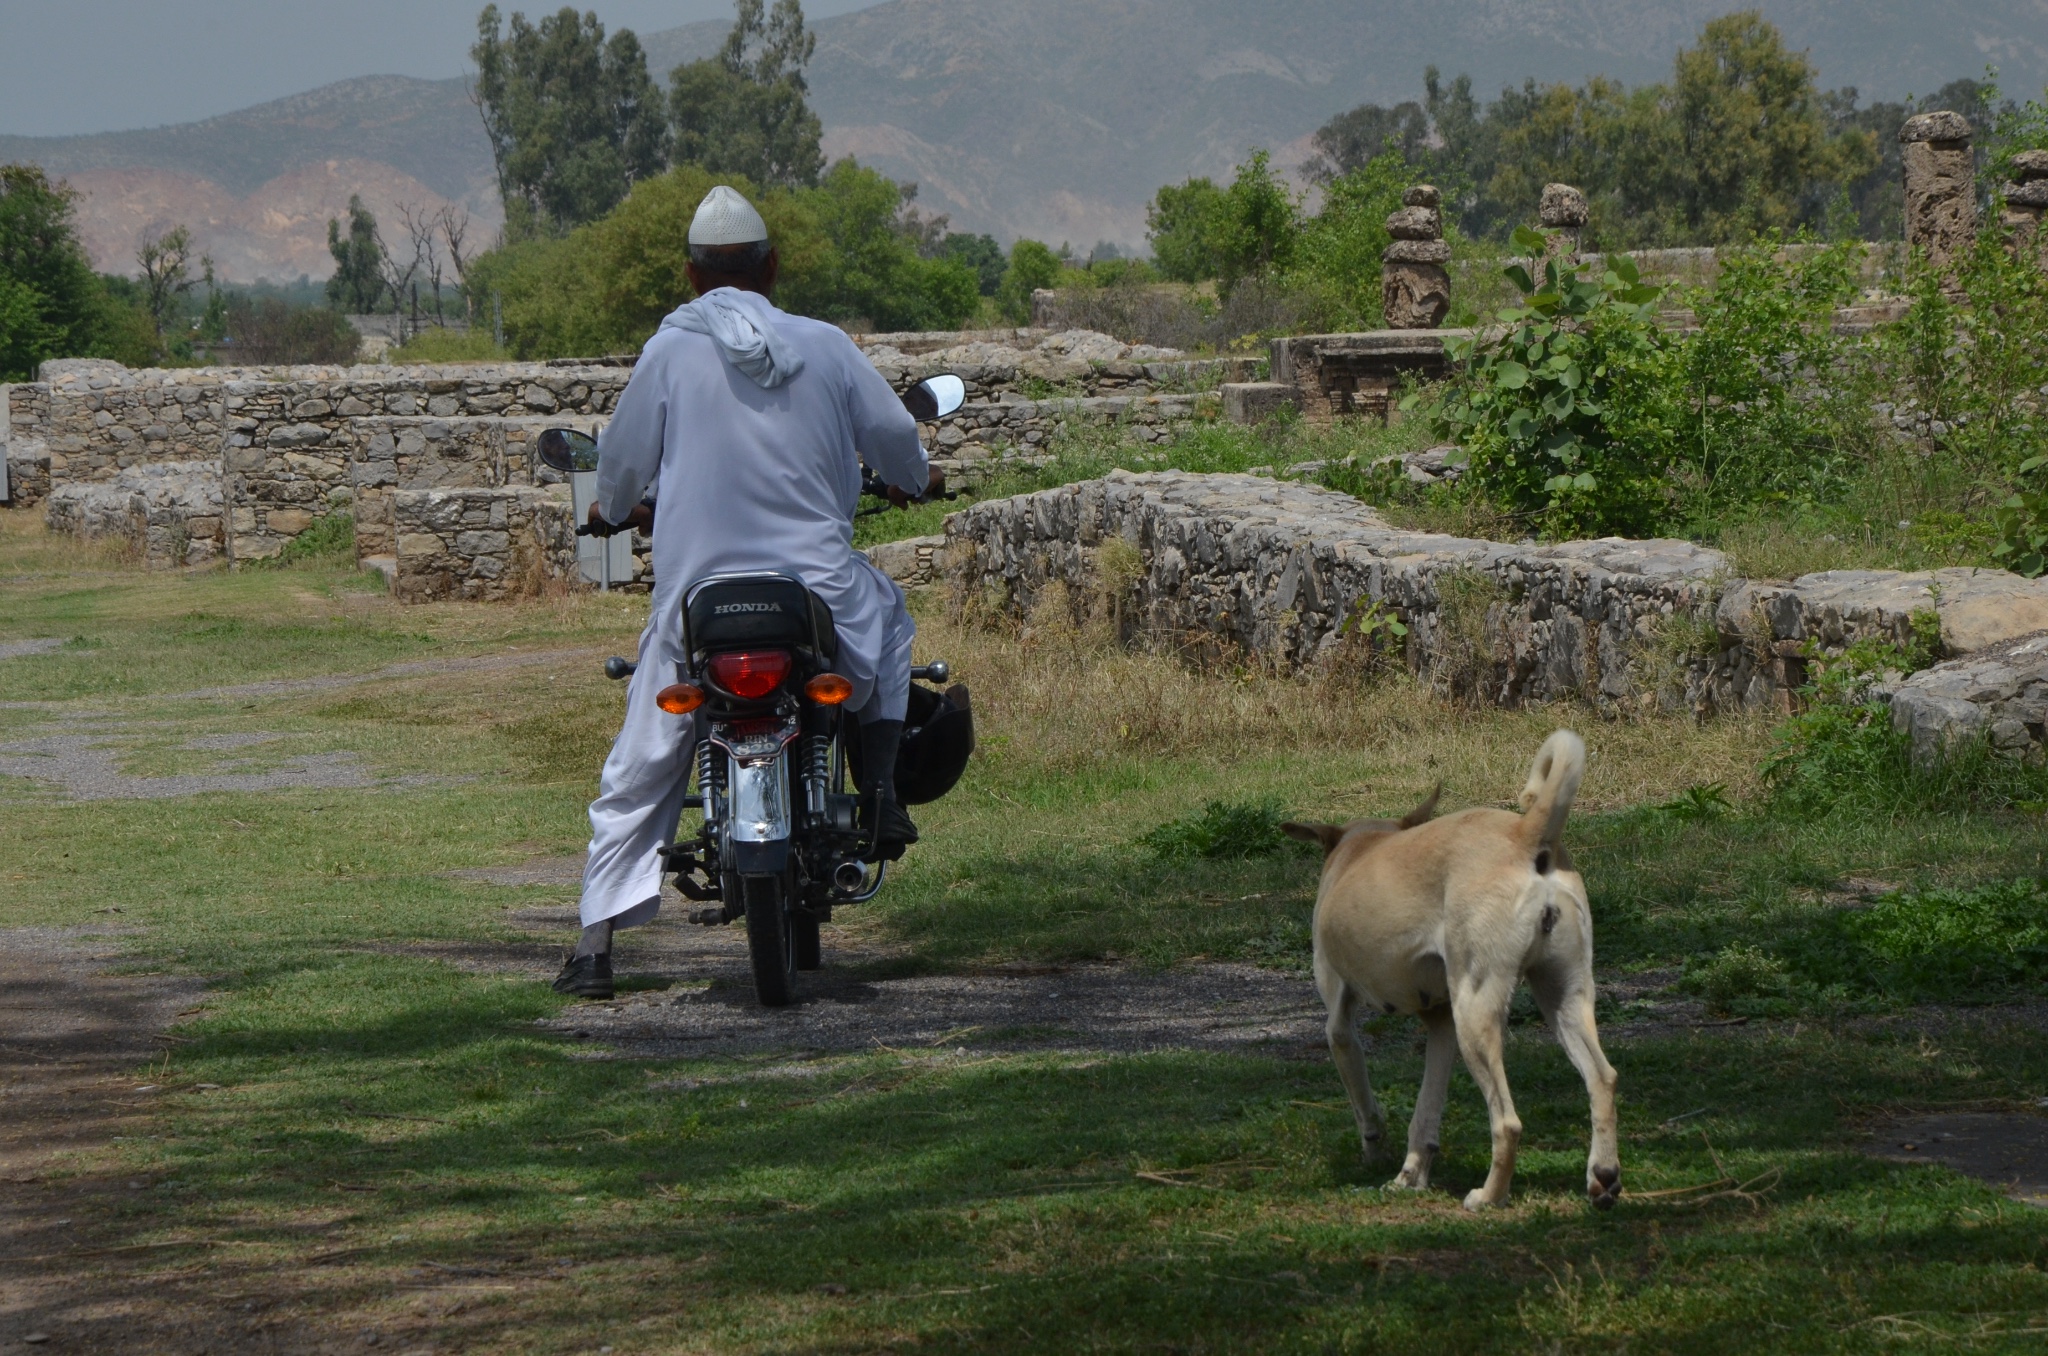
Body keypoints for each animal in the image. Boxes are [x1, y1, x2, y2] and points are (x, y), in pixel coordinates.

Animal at [1286, 737, 1622, 1212]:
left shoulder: (1340, 1022)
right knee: (1602, 1079)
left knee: (1507, 1122)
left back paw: (1489, 1196)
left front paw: (1375, 1152)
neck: (1362, 845)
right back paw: (1603, 1176)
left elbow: (1364, 1102)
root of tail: (1525, 834)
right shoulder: (1441, 1023)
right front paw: (1411, 1174)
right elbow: (1426, 1114)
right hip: (1563, 998)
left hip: (1475, 1013)